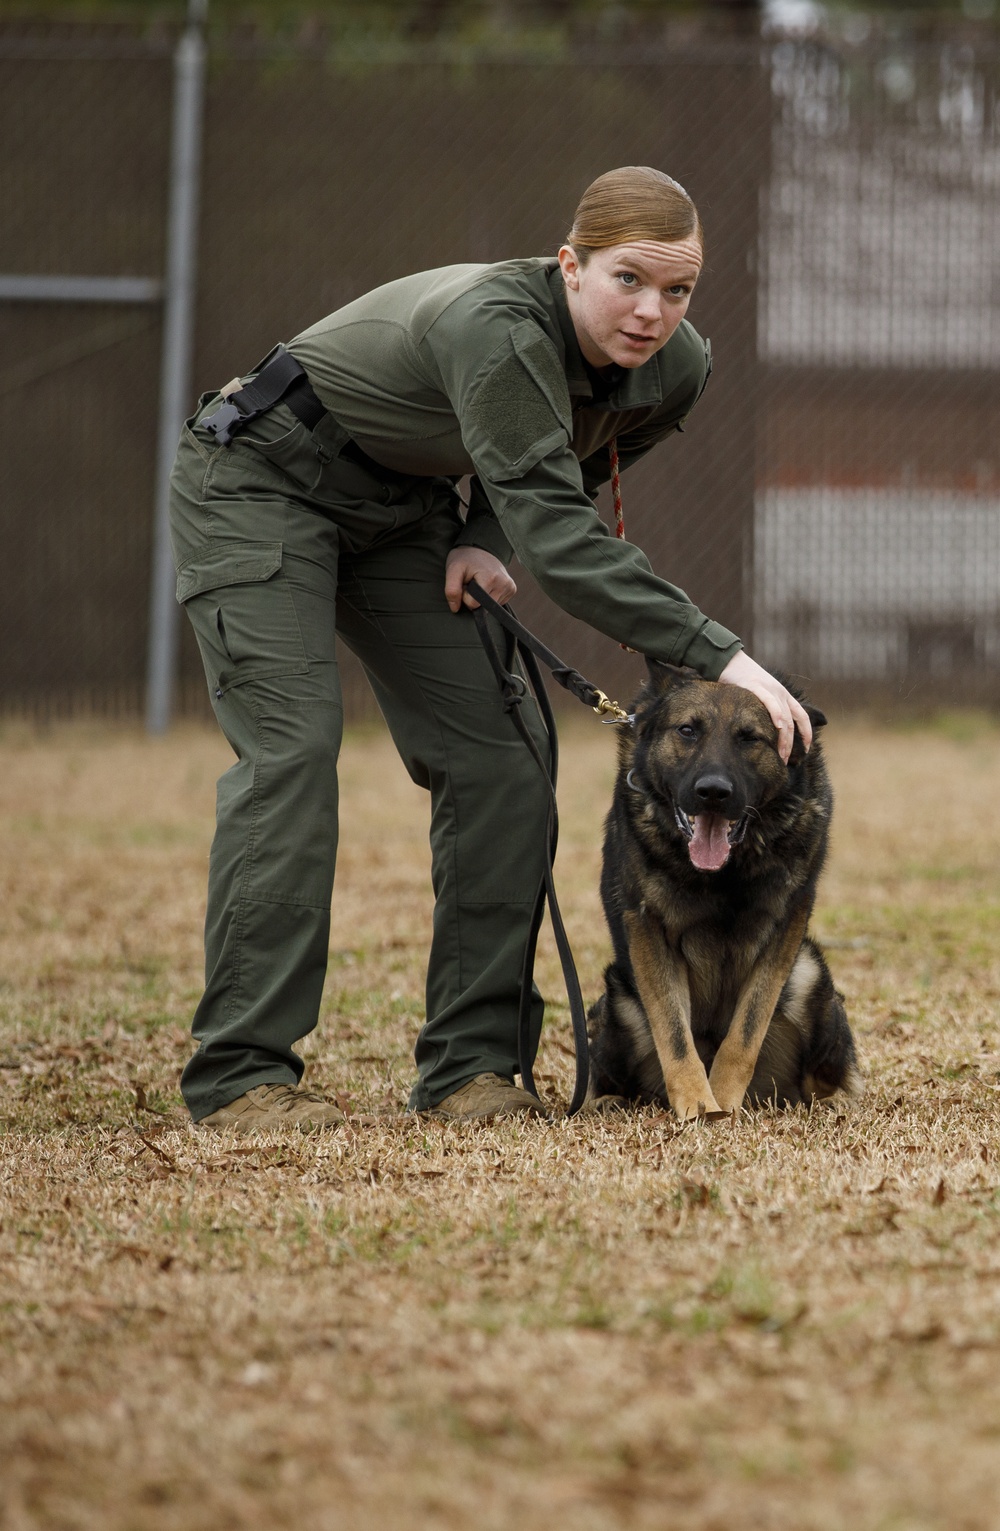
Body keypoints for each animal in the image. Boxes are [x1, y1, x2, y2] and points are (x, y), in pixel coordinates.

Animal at [584, 664, 857, 1120]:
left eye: (750, 738)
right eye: (687, 730)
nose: (712, 792)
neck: (724, 874)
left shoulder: (783, 932)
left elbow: (745, 1032)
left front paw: (724, 1101)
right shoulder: (648, 931)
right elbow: (674, 1033)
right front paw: (697, 1104)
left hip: (810, 975)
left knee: (820, 1080)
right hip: (617, 999)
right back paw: (605, 1102)